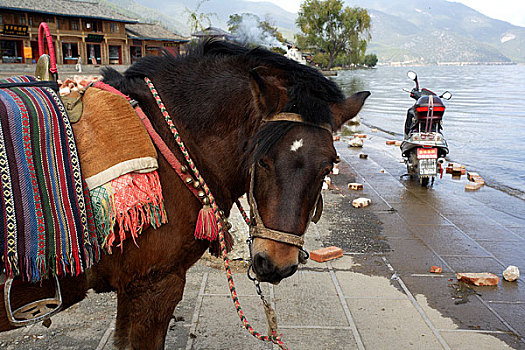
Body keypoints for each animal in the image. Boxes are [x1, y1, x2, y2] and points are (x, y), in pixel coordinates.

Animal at [0, 40, 368, 348]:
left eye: (327, 168)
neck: (169, 141)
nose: (275, 264)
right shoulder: (154, 286)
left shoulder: (132, 288)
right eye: (261, 160)